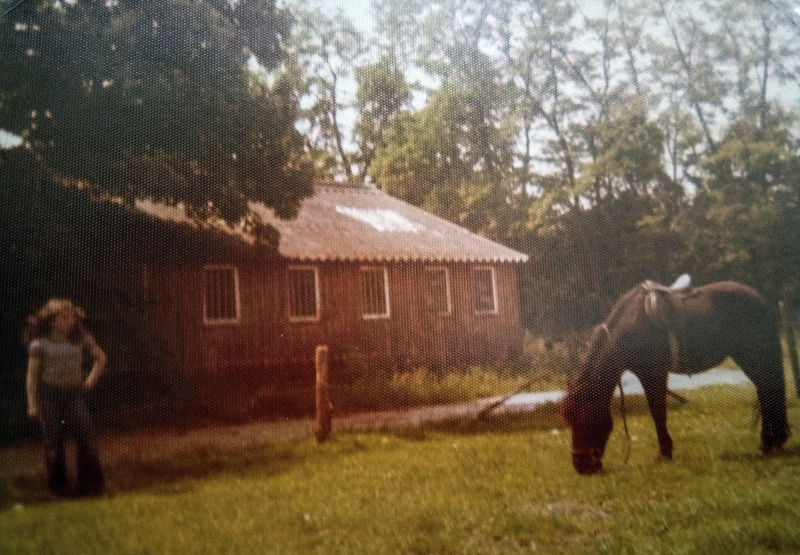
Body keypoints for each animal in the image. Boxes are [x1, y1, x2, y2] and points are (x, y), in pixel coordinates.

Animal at [564, 276, 788, 476]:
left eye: (587, 418)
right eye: (570, 419)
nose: (581, 466)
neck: (632, 326)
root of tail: (762, 301)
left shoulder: (654, 373)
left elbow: (658, 412)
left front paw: (664, 453)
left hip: (752, 356)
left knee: (767, 391)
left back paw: (771, 443)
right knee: (765, 392)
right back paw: (770, 442)